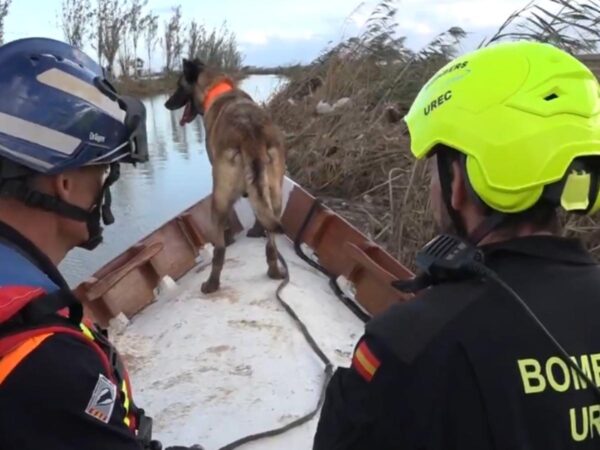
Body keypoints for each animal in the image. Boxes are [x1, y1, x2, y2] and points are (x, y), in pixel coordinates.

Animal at [164, 58, 286, 294]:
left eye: (179, 85)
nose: (166, 104)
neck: (217, 88)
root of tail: (250, 134)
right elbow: (259, 213)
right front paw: (256, 230)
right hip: (276, 194)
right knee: (271, 241)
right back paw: (274, 271)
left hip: (219, 197)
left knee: (219, 251)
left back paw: (212, 284)